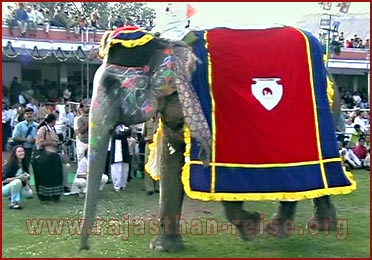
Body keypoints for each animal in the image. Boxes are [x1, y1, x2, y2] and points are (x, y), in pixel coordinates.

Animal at [80, 22, 356, 252]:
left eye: (110, 85)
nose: (85, 248)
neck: (167, 42)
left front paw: (250, 227)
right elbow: (171, 161)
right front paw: (163, 248)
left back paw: (296, 228)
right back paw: (302, 228)